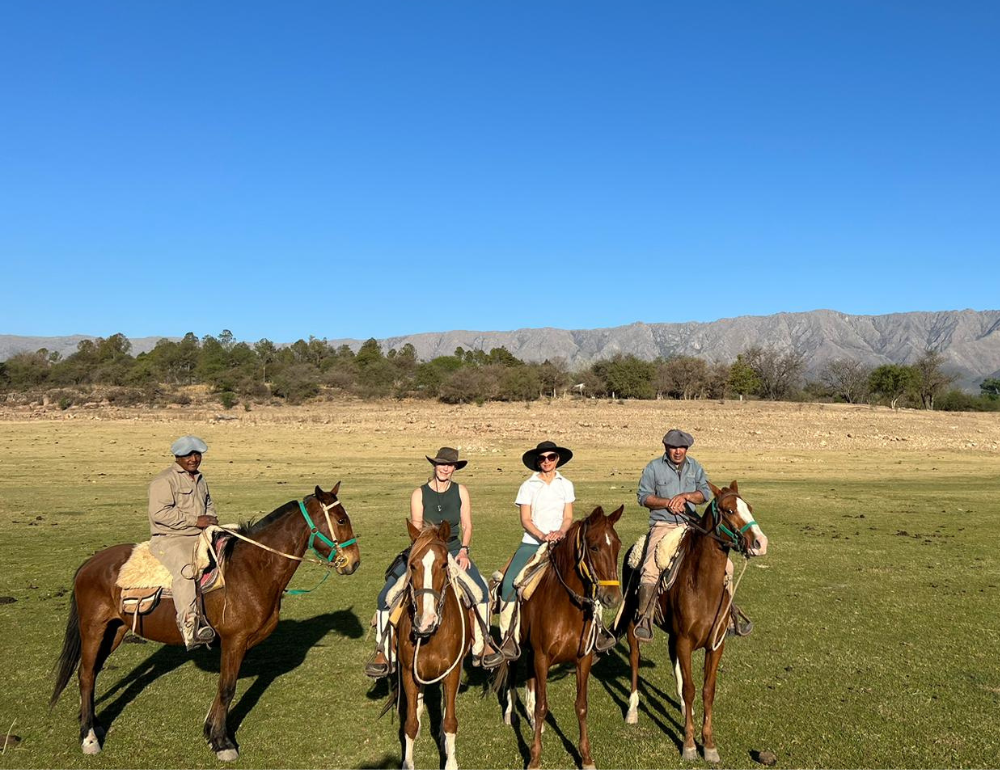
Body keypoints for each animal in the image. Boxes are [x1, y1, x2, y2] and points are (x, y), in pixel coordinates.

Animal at [50, 484, 362, 760]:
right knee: (86, 674)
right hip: (93, 628)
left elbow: (225, 686)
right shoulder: (234, 640)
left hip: (114, 630)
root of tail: (89, 565)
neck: (252, 568)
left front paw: (210, 731)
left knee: (92, 672)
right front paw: (223, 742)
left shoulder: (239, 644)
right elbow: (227, 688)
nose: (354, 562)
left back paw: (92, 723)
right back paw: (89, 737)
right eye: (341, 519)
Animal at [386, 516, 472, 768]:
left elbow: (450, 720)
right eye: (412, 565)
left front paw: (450, 761)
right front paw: (407, 763)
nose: (425, 622)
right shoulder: (408, 672)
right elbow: (411, 723)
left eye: (444, 565)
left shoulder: (452, 672)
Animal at [494, 504, 624, 768]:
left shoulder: (582, 659)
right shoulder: (543, 657)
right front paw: (534, 758)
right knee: (512, 671)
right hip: (515, 645)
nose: (613, 598)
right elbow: (543, 706)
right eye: (594, 547)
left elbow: (581, 706)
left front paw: (586, 757)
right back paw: (511, 714)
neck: (565, 607)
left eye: (618, 545)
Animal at [616, 480, 772, 760]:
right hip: (635, 621)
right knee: (634, 658)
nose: (760, 543)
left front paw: (709, 745)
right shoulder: (685, 640)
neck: (703, 585)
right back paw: (632, 710)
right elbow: (691, 689)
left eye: (749, 507)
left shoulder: (715, 645)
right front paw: (688, 744)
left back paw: (678, 705)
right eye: (729, 510)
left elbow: (708, 690)